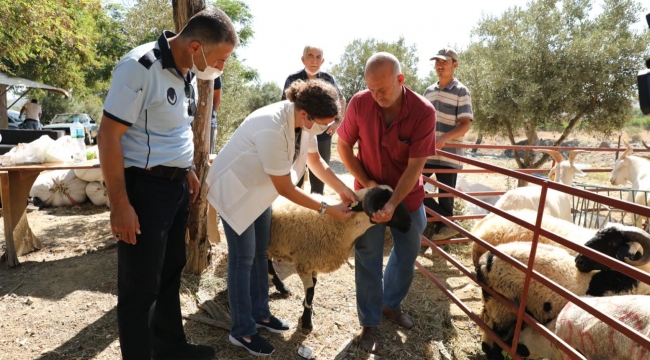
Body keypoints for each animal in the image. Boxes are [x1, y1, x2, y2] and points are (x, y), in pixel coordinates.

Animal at [264, 187, 410, 330]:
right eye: (385, 205)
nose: (409, 224)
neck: (343, 225)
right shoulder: (304, 264)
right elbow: (310, 292)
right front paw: (306, 322)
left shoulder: (314, 262)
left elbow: (313, 286)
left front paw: (308, 309)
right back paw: (282, 289)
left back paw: (283, 289)